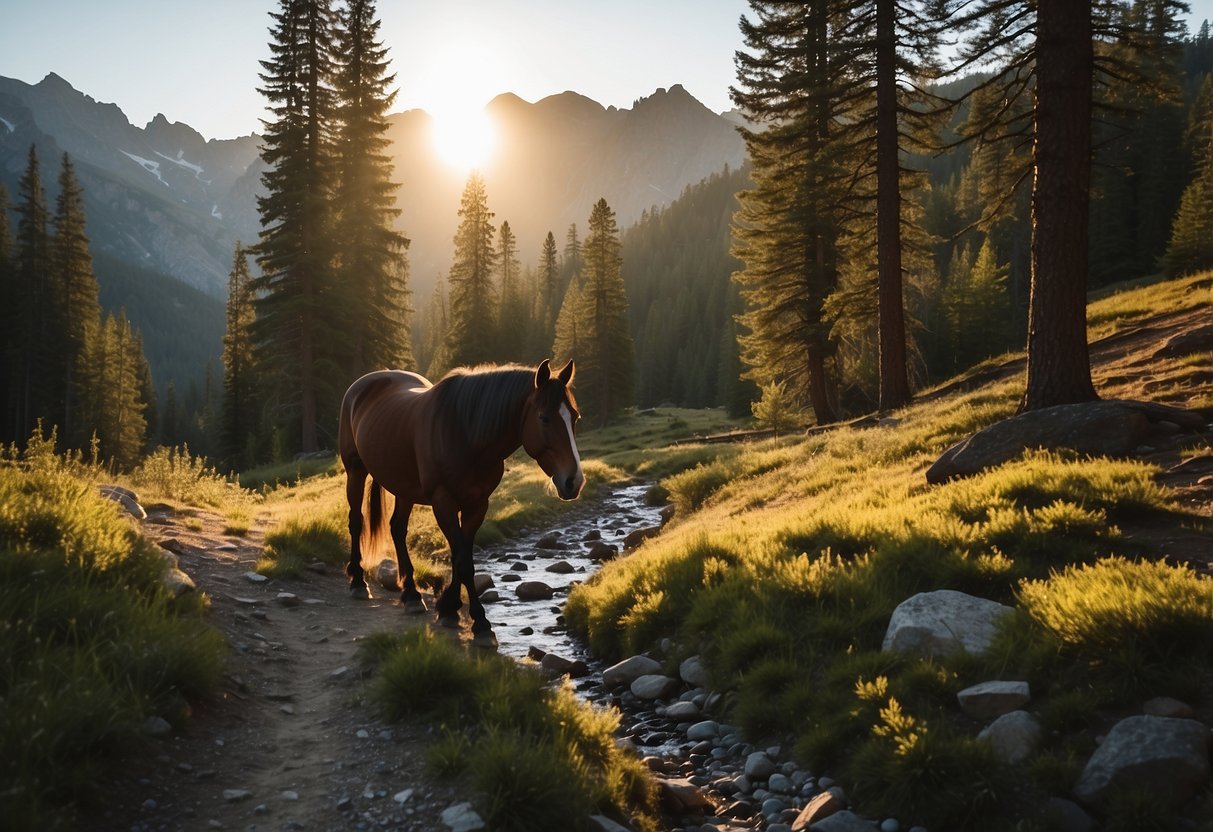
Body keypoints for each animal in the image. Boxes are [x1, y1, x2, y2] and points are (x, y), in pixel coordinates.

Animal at [337, 358, 582, 650]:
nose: (574, 481)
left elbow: (461, 555)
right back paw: (358, 582)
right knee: (356, 521)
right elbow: (463, 560)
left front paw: (450, 608)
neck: (465, 433)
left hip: (404, 488)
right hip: (355, 471)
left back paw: (411, 594)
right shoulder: (443, 502)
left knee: (397, 528)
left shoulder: (477, 504)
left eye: (575, 417)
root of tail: (362, 385)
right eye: (544, 418)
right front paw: (481, 624)